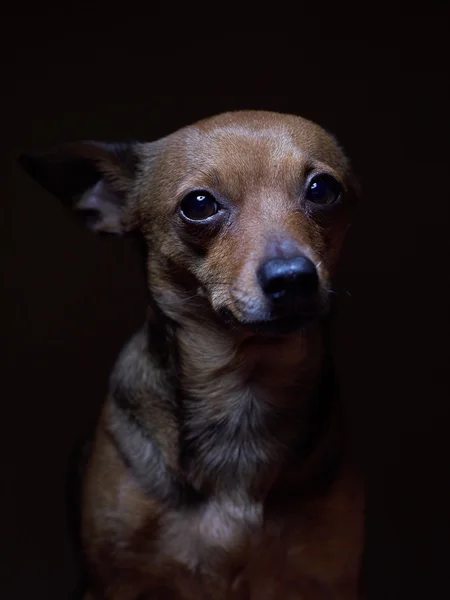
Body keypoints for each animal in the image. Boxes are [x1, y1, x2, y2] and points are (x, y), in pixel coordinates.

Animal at [20, 110, 366, 596]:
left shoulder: (330, 580)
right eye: (199, 205)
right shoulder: (114, 582)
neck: (243, 394)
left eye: (323, 189)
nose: (292, 277)